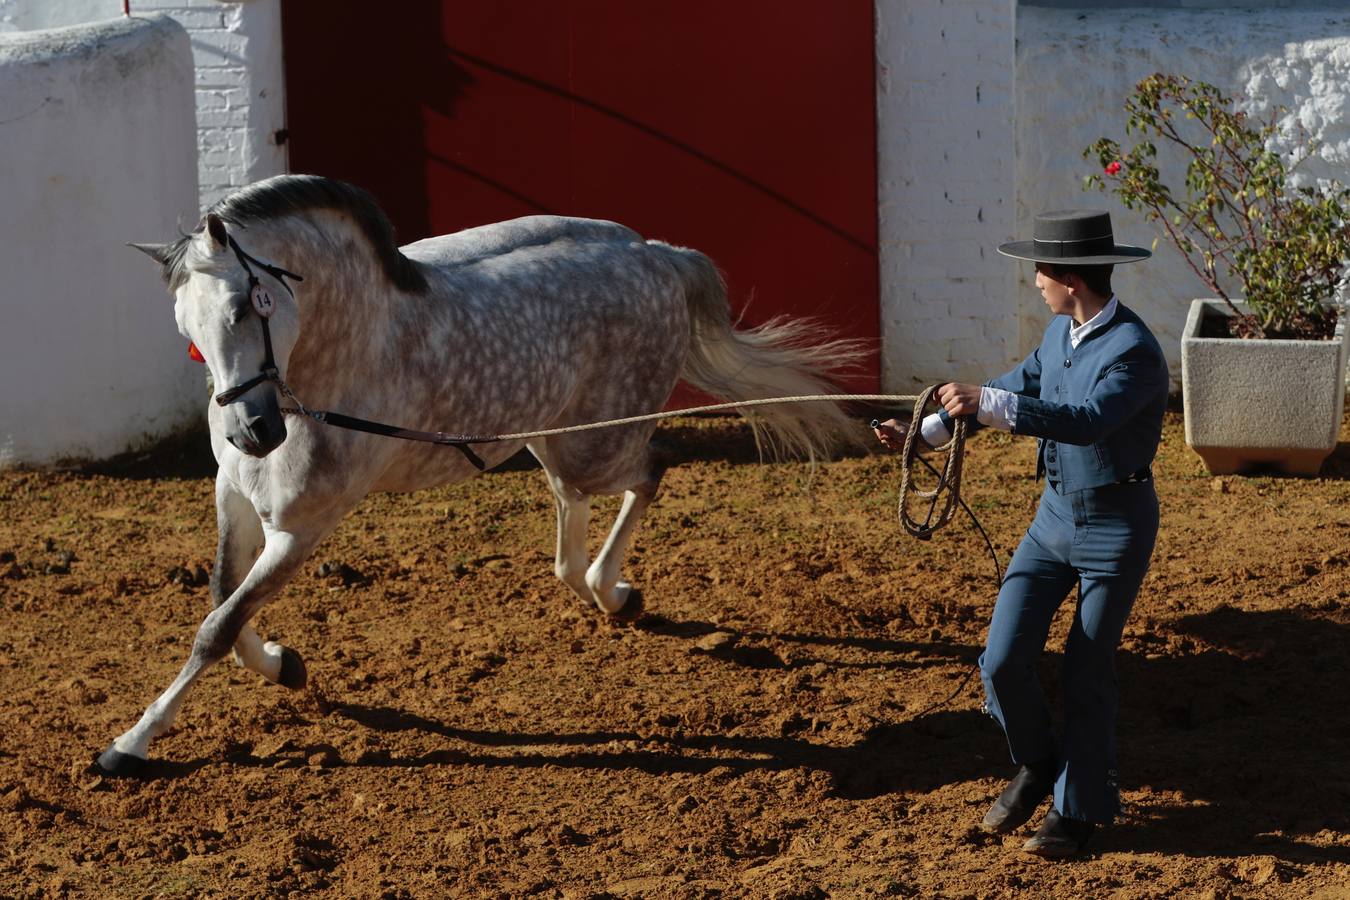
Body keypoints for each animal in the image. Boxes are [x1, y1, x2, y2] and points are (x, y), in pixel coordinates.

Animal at [102, 174, 864, 777]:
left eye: (243, 307)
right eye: (186, 328)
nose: (252, 434)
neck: (342, 354)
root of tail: (660, 257)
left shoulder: (302, 529)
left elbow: (218, 625)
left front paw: (129, 745)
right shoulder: (234, 498)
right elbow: (222, 601)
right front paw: (285, 665)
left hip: (597, 444)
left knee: (650, 470)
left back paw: (612, 591)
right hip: (554, 441)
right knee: (572, 520)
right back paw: (602, 590)